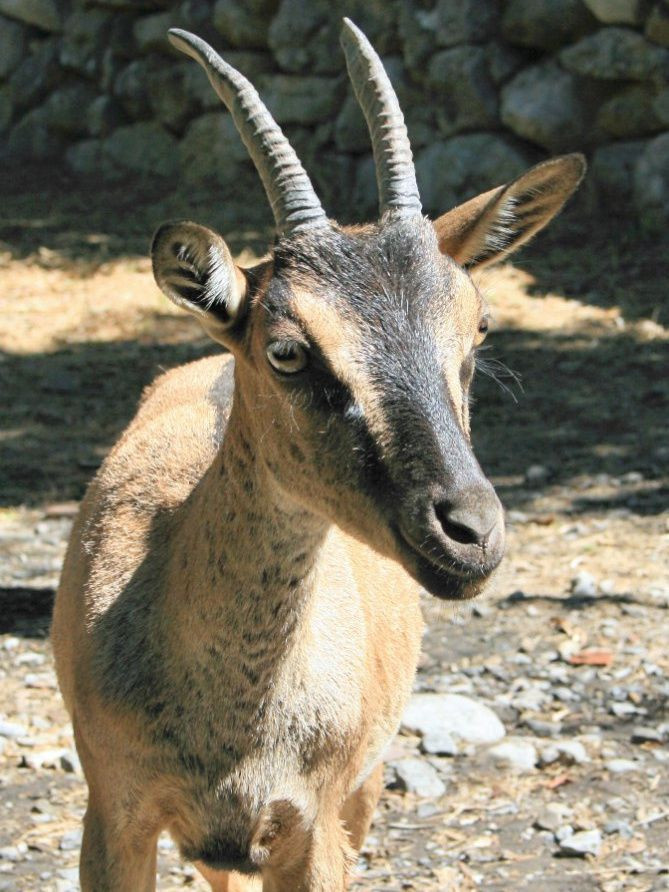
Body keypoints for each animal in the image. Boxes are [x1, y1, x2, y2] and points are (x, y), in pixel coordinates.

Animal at [51, 19, 585, 892]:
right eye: (287, 351)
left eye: (476, 328)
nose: (469, 532)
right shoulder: (114, 810)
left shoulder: (316, 821)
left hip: (360, 790)